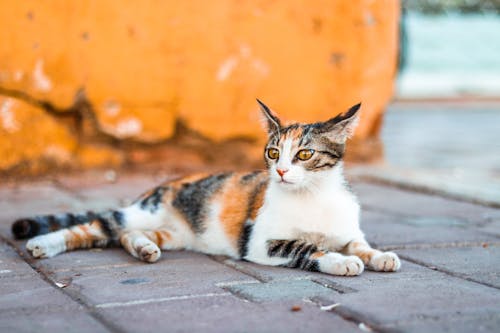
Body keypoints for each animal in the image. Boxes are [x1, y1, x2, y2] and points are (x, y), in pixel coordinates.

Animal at [10, 98, 402, 274]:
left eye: (305, 154)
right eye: (273, 152)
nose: (280, 171)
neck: (312, 196)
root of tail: (165, 184)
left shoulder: (348, 230)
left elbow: (360, 244)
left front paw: (379, 256)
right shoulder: (260, 243)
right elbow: (305, 247)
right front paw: (340, 261)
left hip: (175, 233)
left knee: (126, 236)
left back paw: (144, 248)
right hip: (140, 212)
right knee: (97, 226)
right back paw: (42, 244)